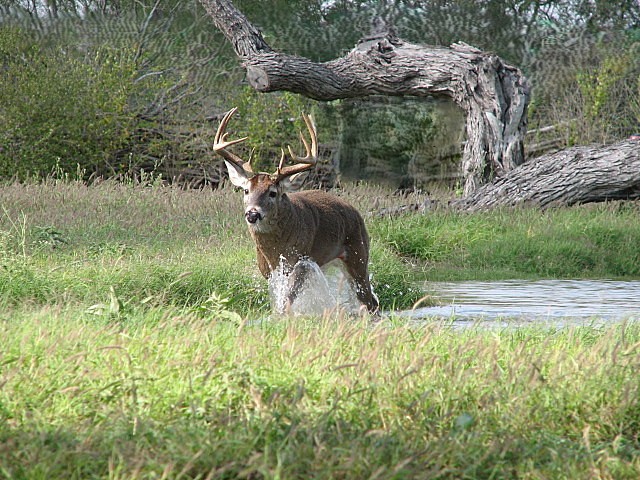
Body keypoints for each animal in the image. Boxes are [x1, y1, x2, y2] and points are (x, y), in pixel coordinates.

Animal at [213, 107, 379, 314]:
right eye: (246, 190)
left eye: (273, 193)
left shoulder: (299, 261)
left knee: (369, 300)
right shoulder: (268, 269)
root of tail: (357, 213)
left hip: (359, 254)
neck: (274, 250)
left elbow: (287, 300)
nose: (252, 214)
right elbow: (278, 299)